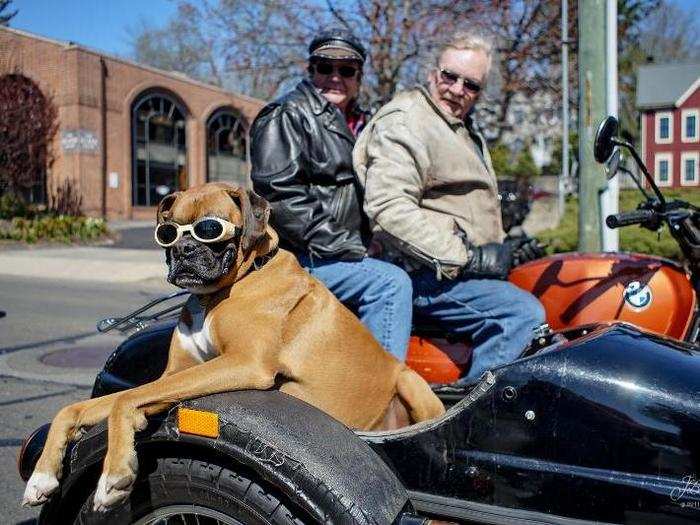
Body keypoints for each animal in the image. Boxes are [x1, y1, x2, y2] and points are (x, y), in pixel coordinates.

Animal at [26, 182, 448, 510]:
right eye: (168, 230)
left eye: (210, 228)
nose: (183, 250)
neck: (222, 291)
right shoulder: (177, 374)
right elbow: (81, 407)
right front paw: (42, 477)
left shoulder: (242, 363)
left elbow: (124, 400)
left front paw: (114, 475)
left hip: (410, 382)